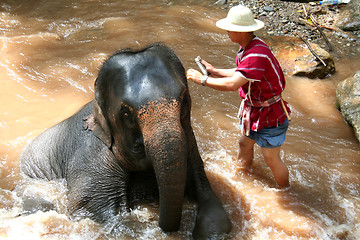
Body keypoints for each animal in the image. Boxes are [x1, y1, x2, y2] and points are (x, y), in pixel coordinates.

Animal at [19, 42, 232, 239]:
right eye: (126, 113)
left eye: (185, 100)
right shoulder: (91, 160)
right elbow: (94, 213)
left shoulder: (190, 143)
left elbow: (210, 200)